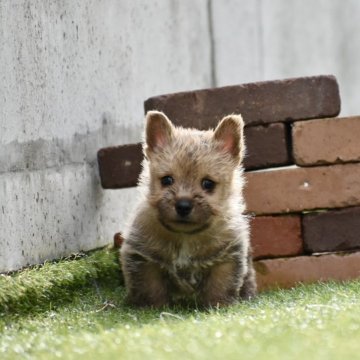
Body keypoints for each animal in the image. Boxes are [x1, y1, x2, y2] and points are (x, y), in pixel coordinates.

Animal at [121, 111, 256, 308]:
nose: (183, 206)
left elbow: (220, 286)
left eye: (208, 183)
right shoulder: (144, 258)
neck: (185, 236)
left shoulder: (227, 258)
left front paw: (219, 307)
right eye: (167, 180)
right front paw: (153, 308)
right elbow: (151, 288)